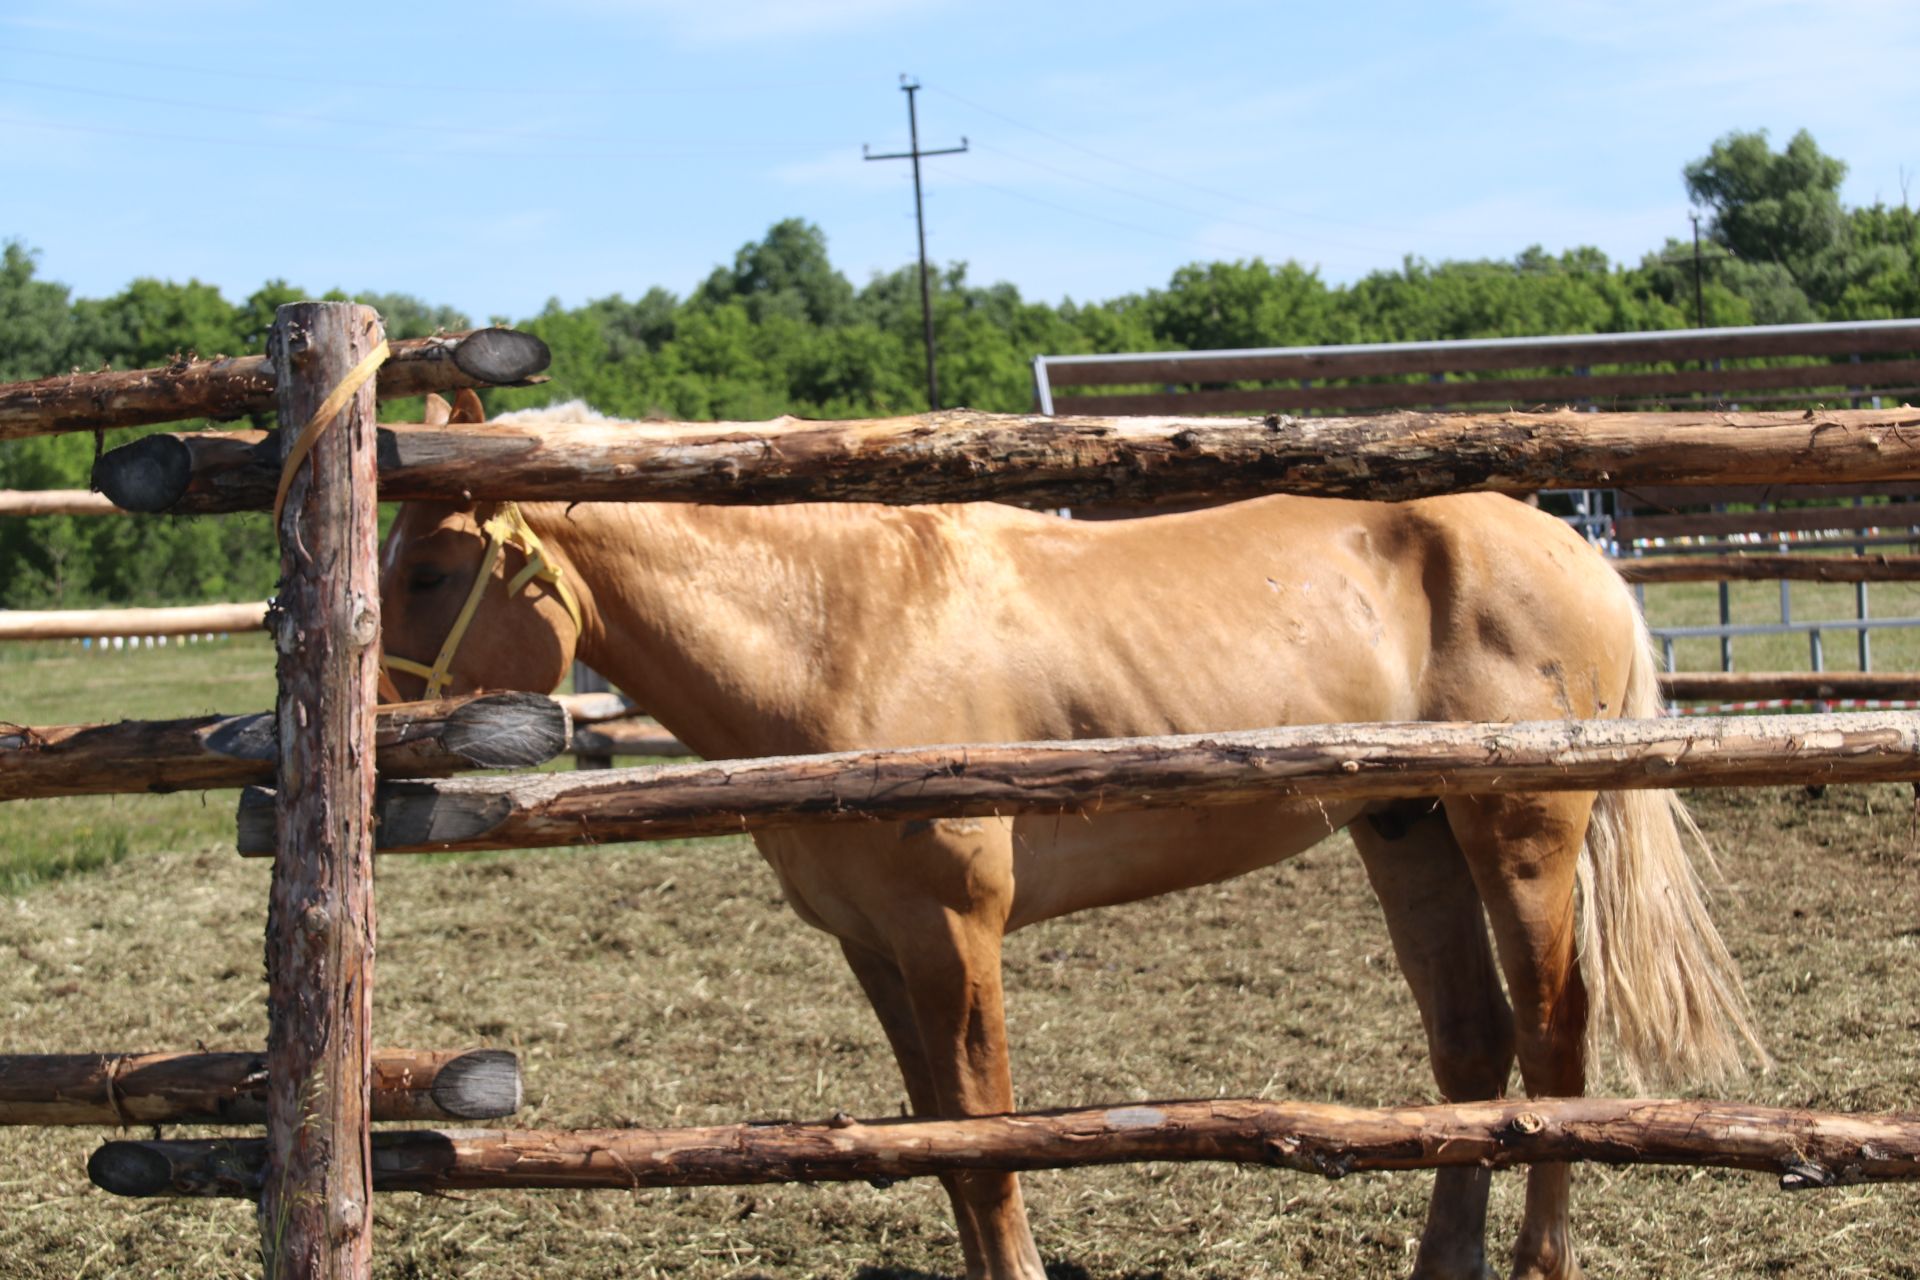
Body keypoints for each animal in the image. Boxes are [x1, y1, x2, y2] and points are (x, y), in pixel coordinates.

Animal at [374, 397, 1758, 1280]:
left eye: (429, 575)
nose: (379, 740)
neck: (842, 632)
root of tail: (1567, 540)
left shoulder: (953, 934)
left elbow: (986, 1145)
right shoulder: (876, 949)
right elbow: (941, 1145)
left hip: (1520, 829)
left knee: (1555, 1041)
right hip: (1405, 825)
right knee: (1471, 1047)